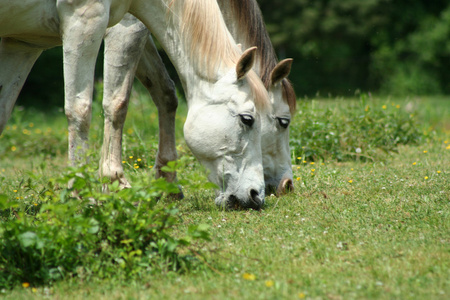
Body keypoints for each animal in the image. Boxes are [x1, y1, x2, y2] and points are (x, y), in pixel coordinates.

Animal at [0, 0, 268, 210]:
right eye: (247, 119)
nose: (257, 195)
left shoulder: (22, 43)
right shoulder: (87, 19)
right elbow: (87, 109)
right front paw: (88, 193)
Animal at [102, 0, 298, 196]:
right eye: (284, 122)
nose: (288, 184)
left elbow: (165, 92)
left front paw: (169, 182)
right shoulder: (128, 24)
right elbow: (117, 102)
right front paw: (115, 184)